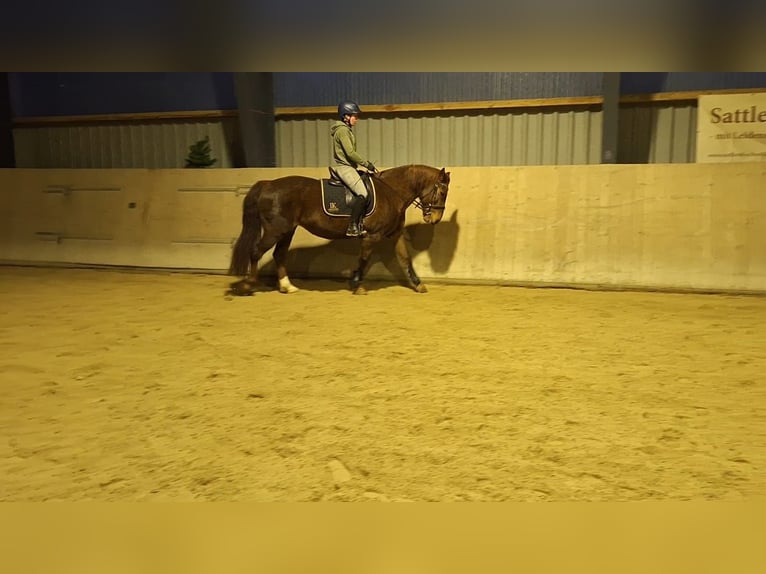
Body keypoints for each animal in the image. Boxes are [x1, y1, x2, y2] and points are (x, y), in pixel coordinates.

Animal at [227, 164, 451, 295]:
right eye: (441, 192)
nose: (435, 219)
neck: (391, 191)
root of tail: (268, 184)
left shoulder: (394, 234)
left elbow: (405, 259)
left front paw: (418, 285)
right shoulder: (372, 236)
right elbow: (364, 259)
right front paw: (357, 285)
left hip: (286, 231)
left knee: (279, 254)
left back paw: (287, 286)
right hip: (275, 230)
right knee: (256, 251)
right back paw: (247, 285)